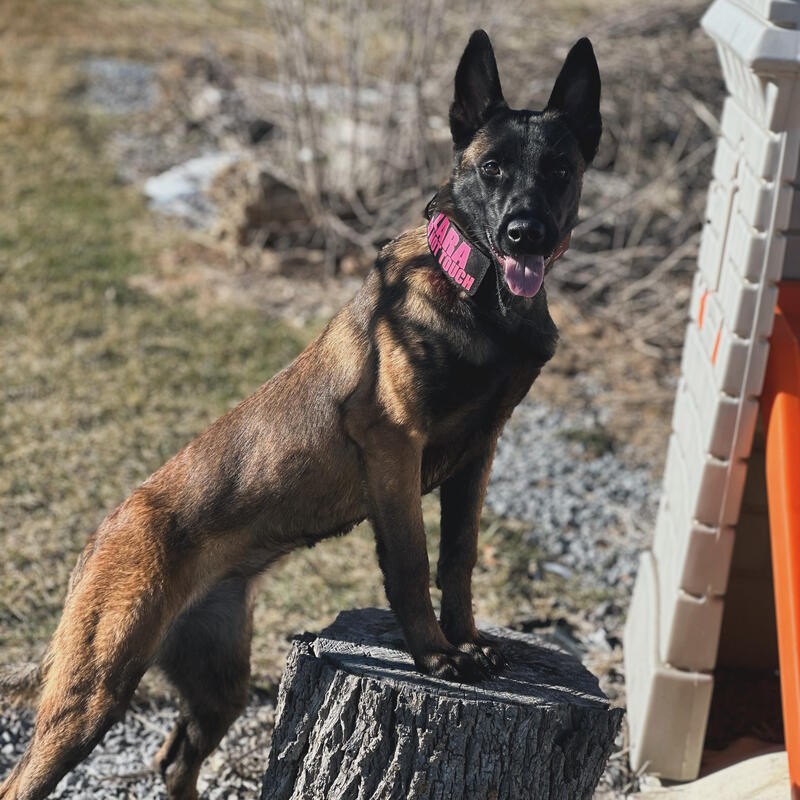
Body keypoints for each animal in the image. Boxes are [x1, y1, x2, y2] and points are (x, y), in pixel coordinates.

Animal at [0, 29, 601, 800]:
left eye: (559, 169)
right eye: (492, 169)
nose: (526, 233)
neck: (477, 293)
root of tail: (103, 534)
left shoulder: (480, 452)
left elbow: (459, 557)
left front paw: (465, 641)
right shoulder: (394, 448)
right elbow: (412, 563)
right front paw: (436, 659)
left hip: (219, 683)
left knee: (176, 760)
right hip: (95, 692)